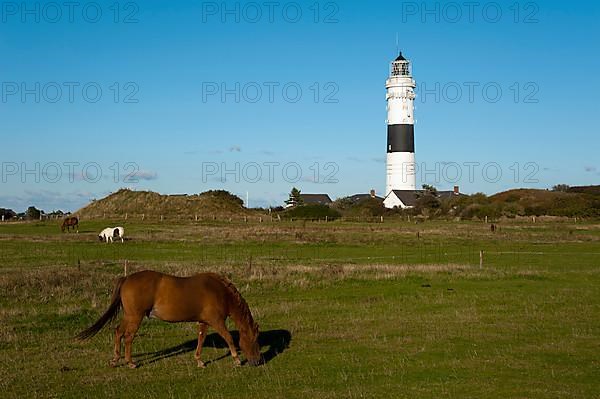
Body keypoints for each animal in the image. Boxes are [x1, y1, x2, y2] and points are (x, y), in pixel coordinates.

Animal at [76, 272, 262, 368]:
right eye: (254, 340)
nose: (257, 361)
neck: (220, 292)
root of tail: (127, 278)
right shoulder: (216, 321)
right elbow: (229, 338)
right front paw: (237, 359)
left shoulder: (203, 322)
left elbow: (201, 339)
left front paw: (199, 360)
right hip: (135, 317)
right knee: (128, 337)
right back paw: (130, 362)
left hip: (128, 316)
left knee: (118, 332)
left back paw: (115, 359)